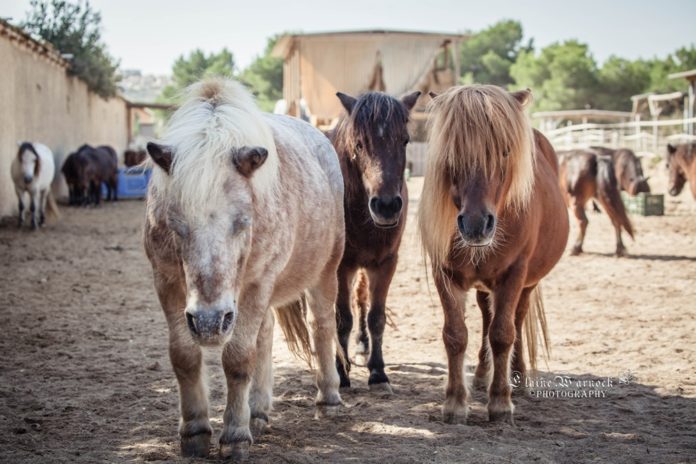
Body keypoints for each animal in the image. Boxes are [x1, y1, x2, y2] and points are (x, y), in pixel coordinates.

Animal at [330, 88, 422, 392]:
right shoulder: (341, 266)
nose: (386, 206)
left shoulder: (384, 264)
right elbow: (342, 319)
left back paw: (361, 346)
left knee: (361, 300)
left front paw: (378, 371)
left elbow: (376, 317)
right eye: (359, 144)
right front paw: (341, 372)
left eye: (404, 140)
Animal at [418, 85, 572, 426]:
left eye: (504, 151)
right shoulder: (445, 275)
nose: (476, 223)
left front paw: (501, 403)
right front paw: (455, 402)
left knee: (516, 318)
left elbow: (503, 334)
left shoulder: (513, 274)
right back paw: (480, 375)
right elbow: (455, 335)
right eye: (452, 154)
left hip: (527, 283)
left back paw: (518, 377)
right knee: (487, 316)